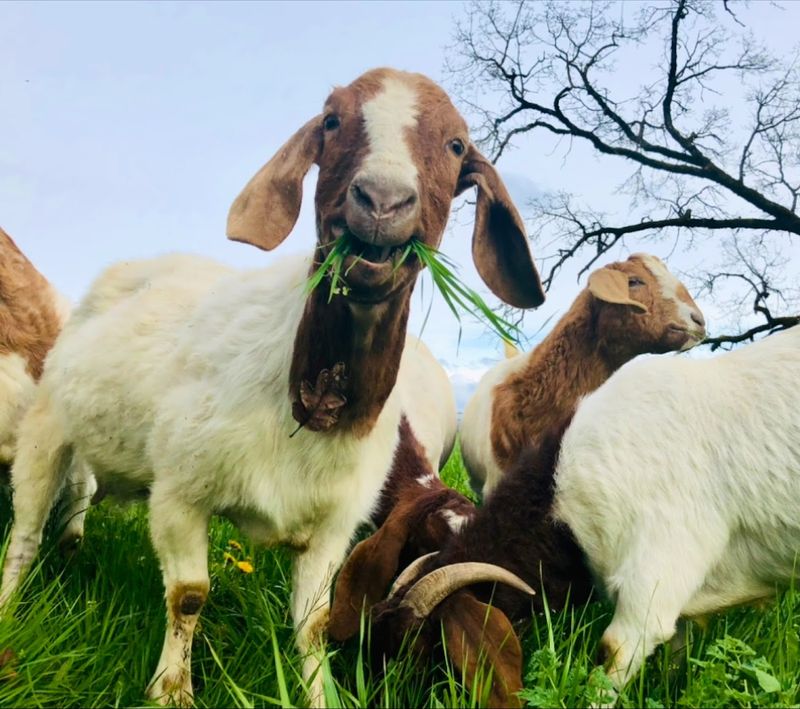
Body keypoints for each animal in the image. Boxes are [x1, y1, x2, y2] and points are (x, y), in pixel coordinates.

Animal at [0, 67, 545, 708]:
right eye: (331, 120)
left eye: (458, 146)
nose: (382, 201)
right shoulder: (180, 494)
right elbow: (189, 594)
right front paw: (171, 691)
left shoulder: (336, 526)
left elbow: (313, 622)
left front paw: (317, 694)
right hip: (46, 429)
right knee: (24, 535)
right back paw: (9, 610)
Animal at [367, 324, 800, 705]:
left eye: (418, 646)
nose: (376, 694)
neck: (563, 498)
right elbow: (674, 654)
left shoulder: (653, 580)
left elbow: (610, 660)